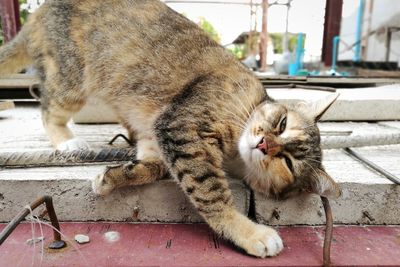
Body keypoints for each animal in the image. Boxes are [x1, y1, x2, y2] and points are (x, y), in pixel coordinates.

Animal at [0, 0, 340, 260]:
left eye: (288, 163)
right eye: (281, 124)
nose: (263, 144)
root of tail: (43, 10)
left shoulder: (158, 134)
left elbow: (152, 167)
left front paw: (112, 177)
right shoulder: (181, 127)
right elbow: (210, 191)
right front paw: (248, 232)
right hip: (72, 81)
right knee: (47, 109)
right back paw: (67, 142)